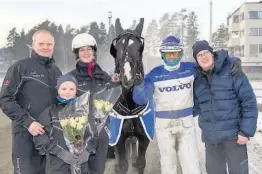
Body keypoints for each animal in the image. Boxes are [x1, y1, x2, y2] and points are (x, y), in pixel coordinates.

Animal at [109, 18, 149, 173]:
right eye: (117, 49)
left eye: (139, 48)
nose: (127, 77)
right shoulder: (119, 138)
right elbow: (123, 165)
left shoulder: (144, 137)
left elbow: (140, 162)